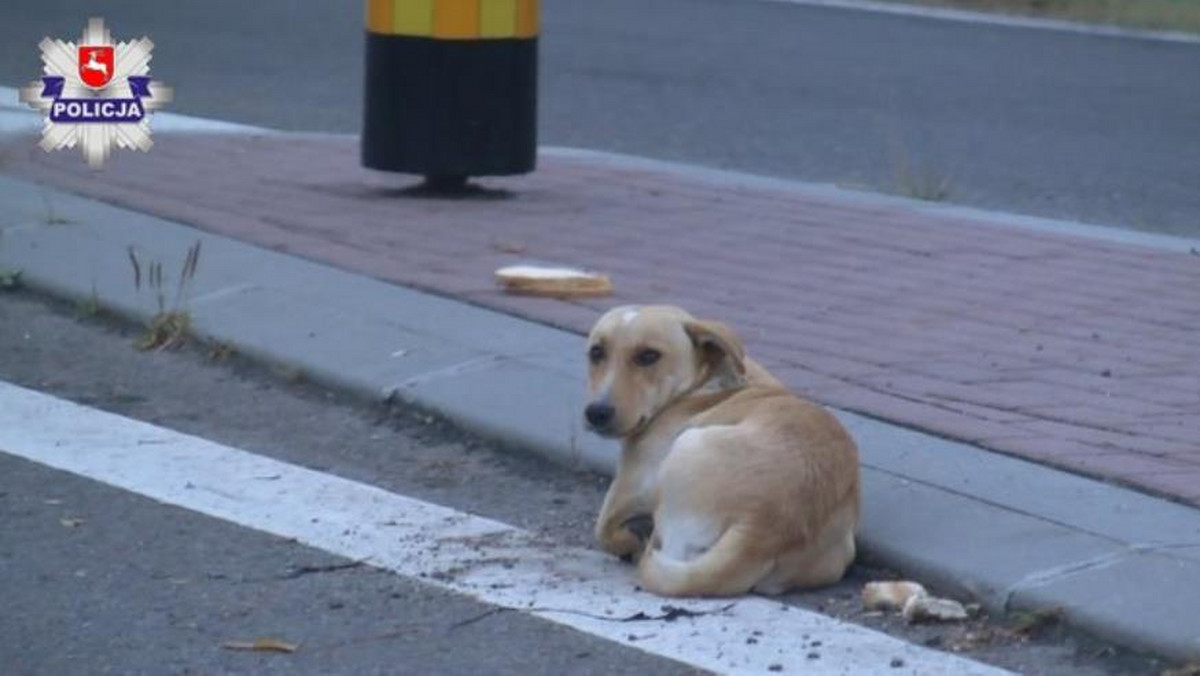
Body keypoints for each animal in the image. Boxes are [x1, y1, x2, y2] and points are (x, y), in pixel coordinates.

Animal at [585, 307, 859, 597]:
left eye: (649, 356)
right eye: (596, 352)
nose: (596, 413)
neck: (704, 382)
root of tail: (762, 530)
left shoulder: (631, 488)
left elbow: (603, 531)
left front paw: (627, 540)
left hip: (686, 445)